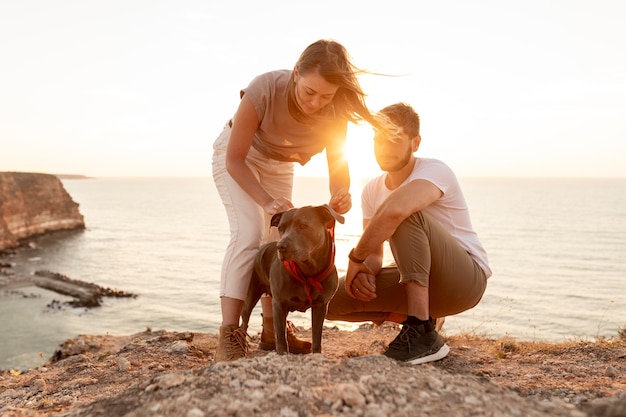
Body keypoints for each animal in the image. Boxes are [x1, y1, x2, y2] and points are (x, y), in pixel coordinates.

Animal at [240, 205, 344, 354]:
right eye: (281, 228)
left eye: (303, 225)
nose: (280, 246)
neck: (308, 272)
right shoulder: (279, 304)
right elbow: (281, 338)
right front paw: (282, 354)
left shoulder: (321, 306)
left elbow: (317, 337)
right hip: (251, 293)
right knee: (244, 320)